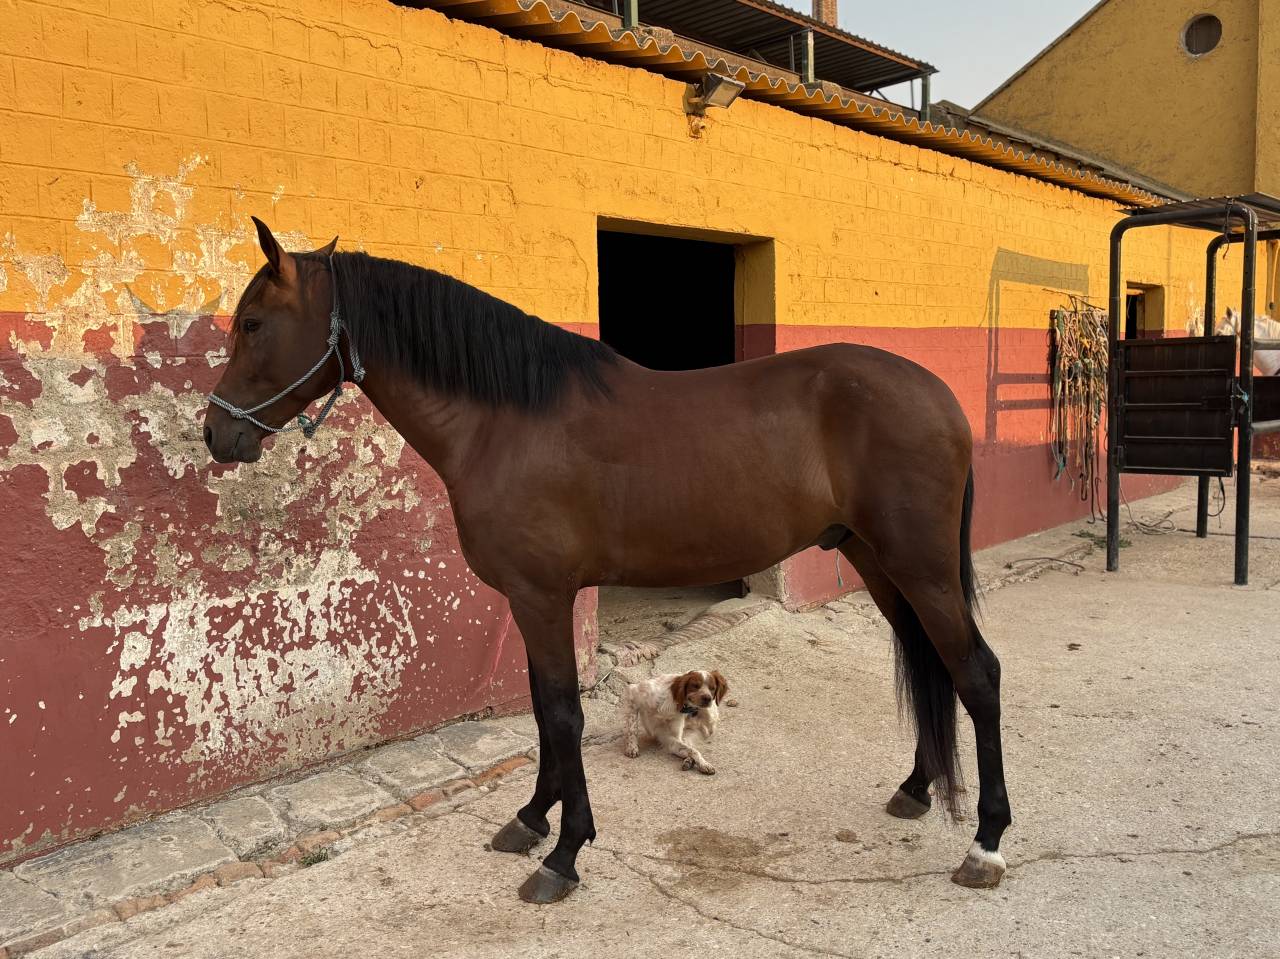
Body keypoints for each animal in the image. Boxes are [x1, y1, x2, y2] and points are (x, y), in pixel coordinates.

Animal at [202, 218, 1011, 904]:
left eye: (253, 324)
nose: (215, 433)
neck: (505, 420)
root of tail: (939, 394)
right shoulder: (531, 599)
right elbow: (541, 709)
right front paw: (532, 818)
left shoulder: (541, 594)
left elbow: (562, 713)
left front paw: (564, 854)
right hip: (879, 562)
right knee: (926, 661)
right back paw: (916, 788)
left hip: (921, 566)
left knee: (975, 672)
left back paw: (987, 842)